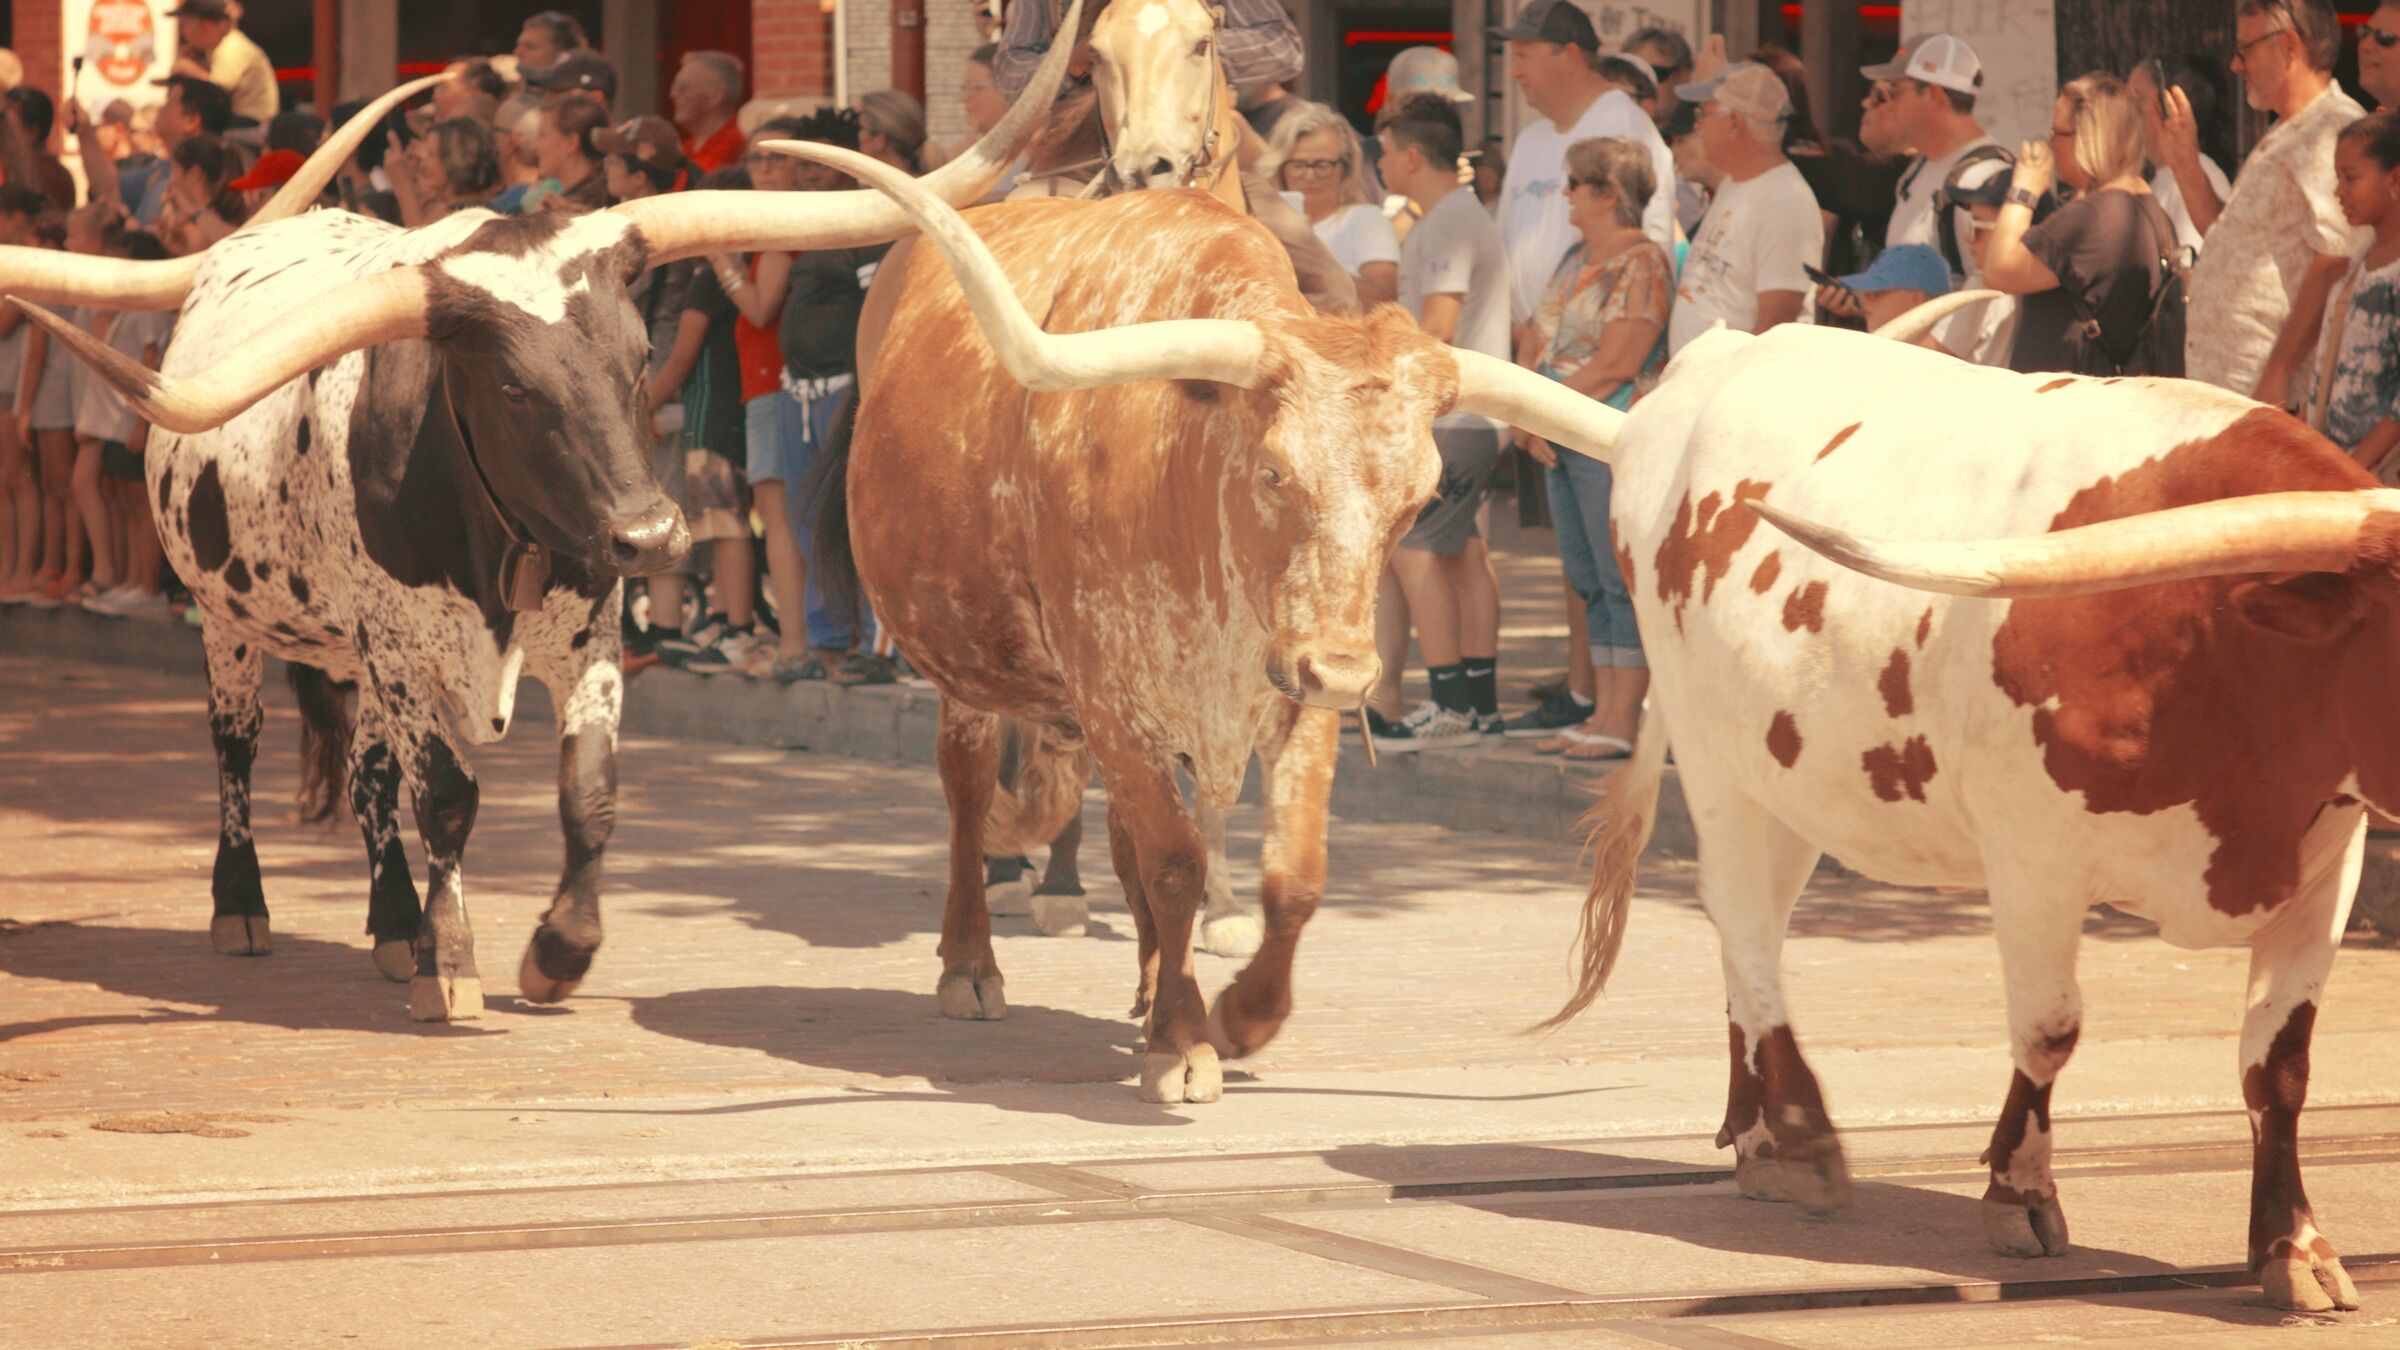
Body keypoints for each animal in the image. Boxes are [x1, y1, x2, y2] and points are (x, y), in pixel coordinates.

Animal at [11, 38, 1083, 1022]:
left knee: (365, 776)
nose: (655, 537)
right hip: (235, 621)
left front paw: (556, 951)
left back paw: (390, 924)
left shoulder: (587, 631)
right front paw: (451, 964)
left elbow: (588, 791)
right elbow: (447, 796)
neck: (498, 537)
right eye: (514, 389)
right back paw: (245, 907)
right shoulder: (402, 645)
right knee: (240, 747)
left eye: (642, 354)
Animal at [778, 140, 1623, 1102]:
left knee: (1120, 841)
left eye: (1421, 497)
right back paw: (971, 966)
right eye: (1274, 473)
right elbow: (1176, 864)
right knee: (967, 791)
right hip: (966, 665)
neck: (1181, 465)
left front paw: (1242, 1015)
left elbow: (1292, 876)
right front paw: (1184, 1042)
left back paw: (1148, 983)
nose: (1345, 672)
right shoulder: (1115, 695)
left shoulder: (1294, 703)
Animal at [1528, 318, 2378, 1312]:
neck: (2214, 634)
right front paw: (2019, 1193)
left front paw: (2293, 1247)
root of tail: (1713, 354)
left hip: (1790, 779)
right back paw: (1804, 1138)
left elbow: (2278, 1065)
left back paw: (1761, 1136)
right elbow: (2050, 1029)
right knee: (1739, 919)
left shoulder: (2327, 862)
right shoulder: (2034, 858)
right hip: (1714, 758)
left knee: (1756, 932)